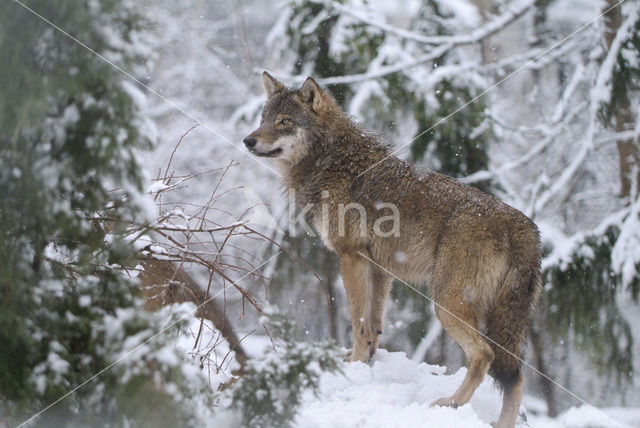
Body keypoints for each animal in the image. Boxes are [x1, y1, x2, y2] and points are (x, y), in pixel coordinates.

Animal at [242, 72, 544, 426]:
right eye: (264, 119)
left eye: (285, 122)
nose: (248, 141)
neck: (331, 161)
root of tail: (522, 225)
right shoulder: (379, 268)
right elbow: (374, 323)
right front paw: (367, 361)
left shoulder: (352, 257)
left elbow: (358, 320)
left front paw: (356, 364)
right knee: (515, 377)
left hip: (446, 304)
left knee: (484, 355)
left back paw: (450, 403)